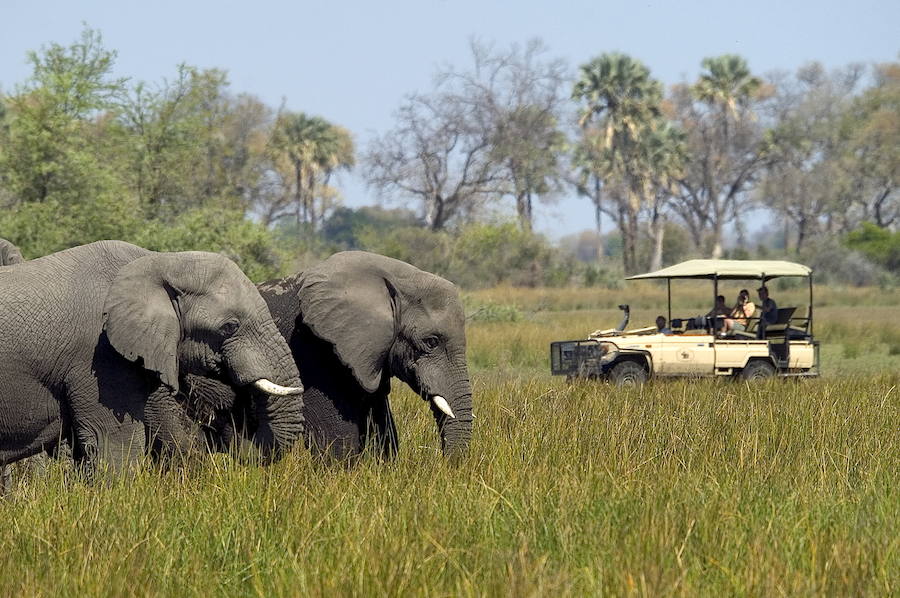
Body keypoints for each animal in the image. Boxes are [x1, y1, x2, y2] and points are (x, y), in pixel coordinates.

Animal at [184, 251, 473, 461]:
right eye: (431, 342)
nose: (443, 467)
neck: (391, 276)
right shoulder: (312, 348)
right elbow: (336, 435)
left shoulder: (369, 356)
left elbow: (382, 428)